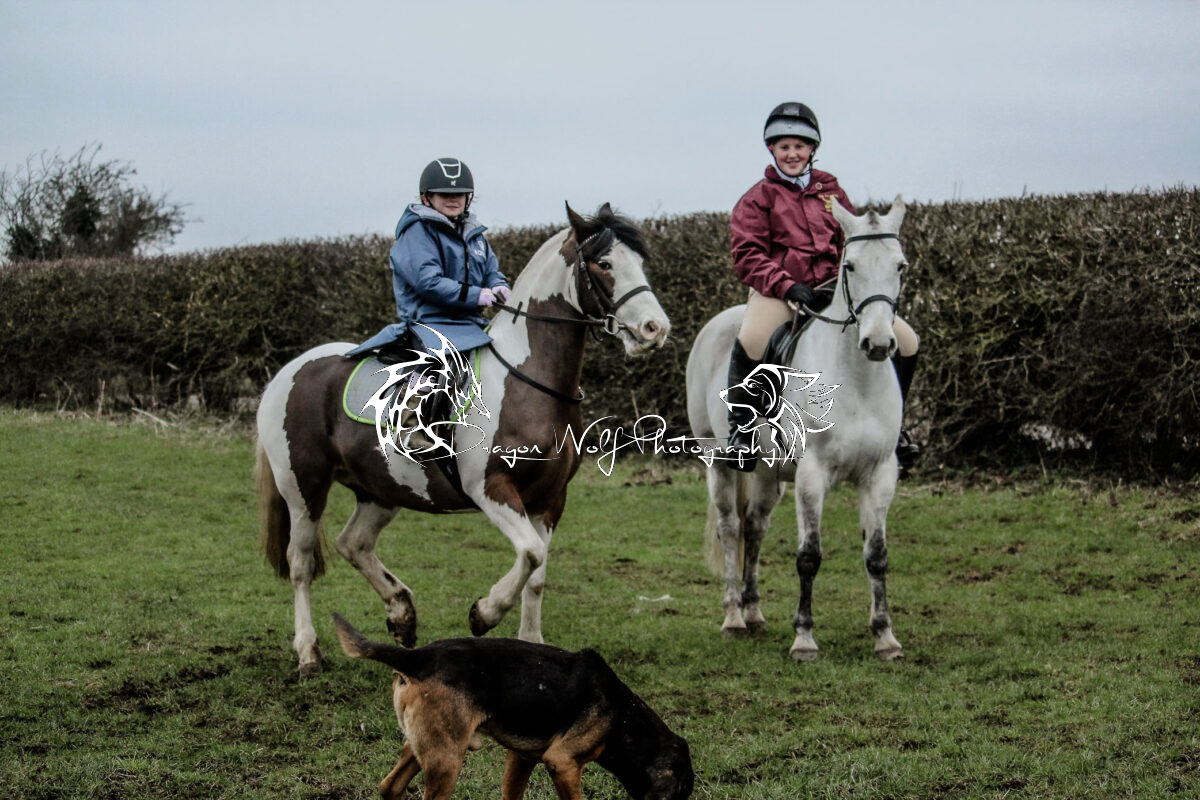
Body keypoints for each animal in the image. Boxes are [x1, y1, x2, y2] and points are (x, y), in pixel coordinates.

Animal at [254, 203, 670, 675]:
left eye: (639, 262)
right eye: (604, 264)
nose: (655, 329)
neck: (527, 380)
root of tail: (289, 372)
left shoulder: (550, 499)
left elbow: (538, 575)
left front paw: (533, 644)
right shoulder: (491, 489)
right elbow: (529, 553)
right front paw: (484, 613)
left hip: (381, 489)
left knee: (353, 543)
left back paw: (402, 613)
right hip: (303, 487)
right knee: (301, 563)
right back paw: (309, 652)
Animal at [333, 613, 694, 800]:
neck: (623, 716)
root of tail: (418, 657)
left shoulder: (521, 758)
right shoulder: (562, 762)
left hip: (423, 747)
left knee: (389, 787)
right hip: (447, 760)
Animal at [685, 196, 907, 662]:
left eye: (900, 266)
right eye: (850, 267)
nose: (878, 344)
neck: (857, 379)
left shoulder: (880, 474)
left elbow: (876, 555)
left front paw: (885, 637)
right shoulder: (812, 474)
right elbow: (809, 556)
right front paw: (804, 639)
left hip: (768, 473)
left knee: (755, 526)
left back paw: (753, 612)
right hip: (718, 461)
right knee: (731, 528)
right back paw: (734, 617)